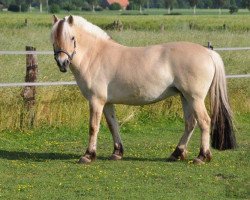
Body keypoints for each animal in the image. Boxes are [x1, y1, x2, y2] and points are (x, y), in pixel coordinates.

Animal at [50, 15, 236, 164]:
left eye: (72, 37)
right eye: (53, 38)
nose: (62, 63)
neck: (95, 55)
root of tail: (208, 52)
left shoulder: (96, 101)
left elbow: (93, 127)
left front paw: (88, 155)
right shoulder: (107, 102)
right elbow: (113, 125)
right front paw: (117, 153)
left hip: (195, 98)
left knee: (204, 122)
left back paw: (202, 157)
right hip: (185, 97)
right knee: (190, 123)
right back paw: (176, 154)